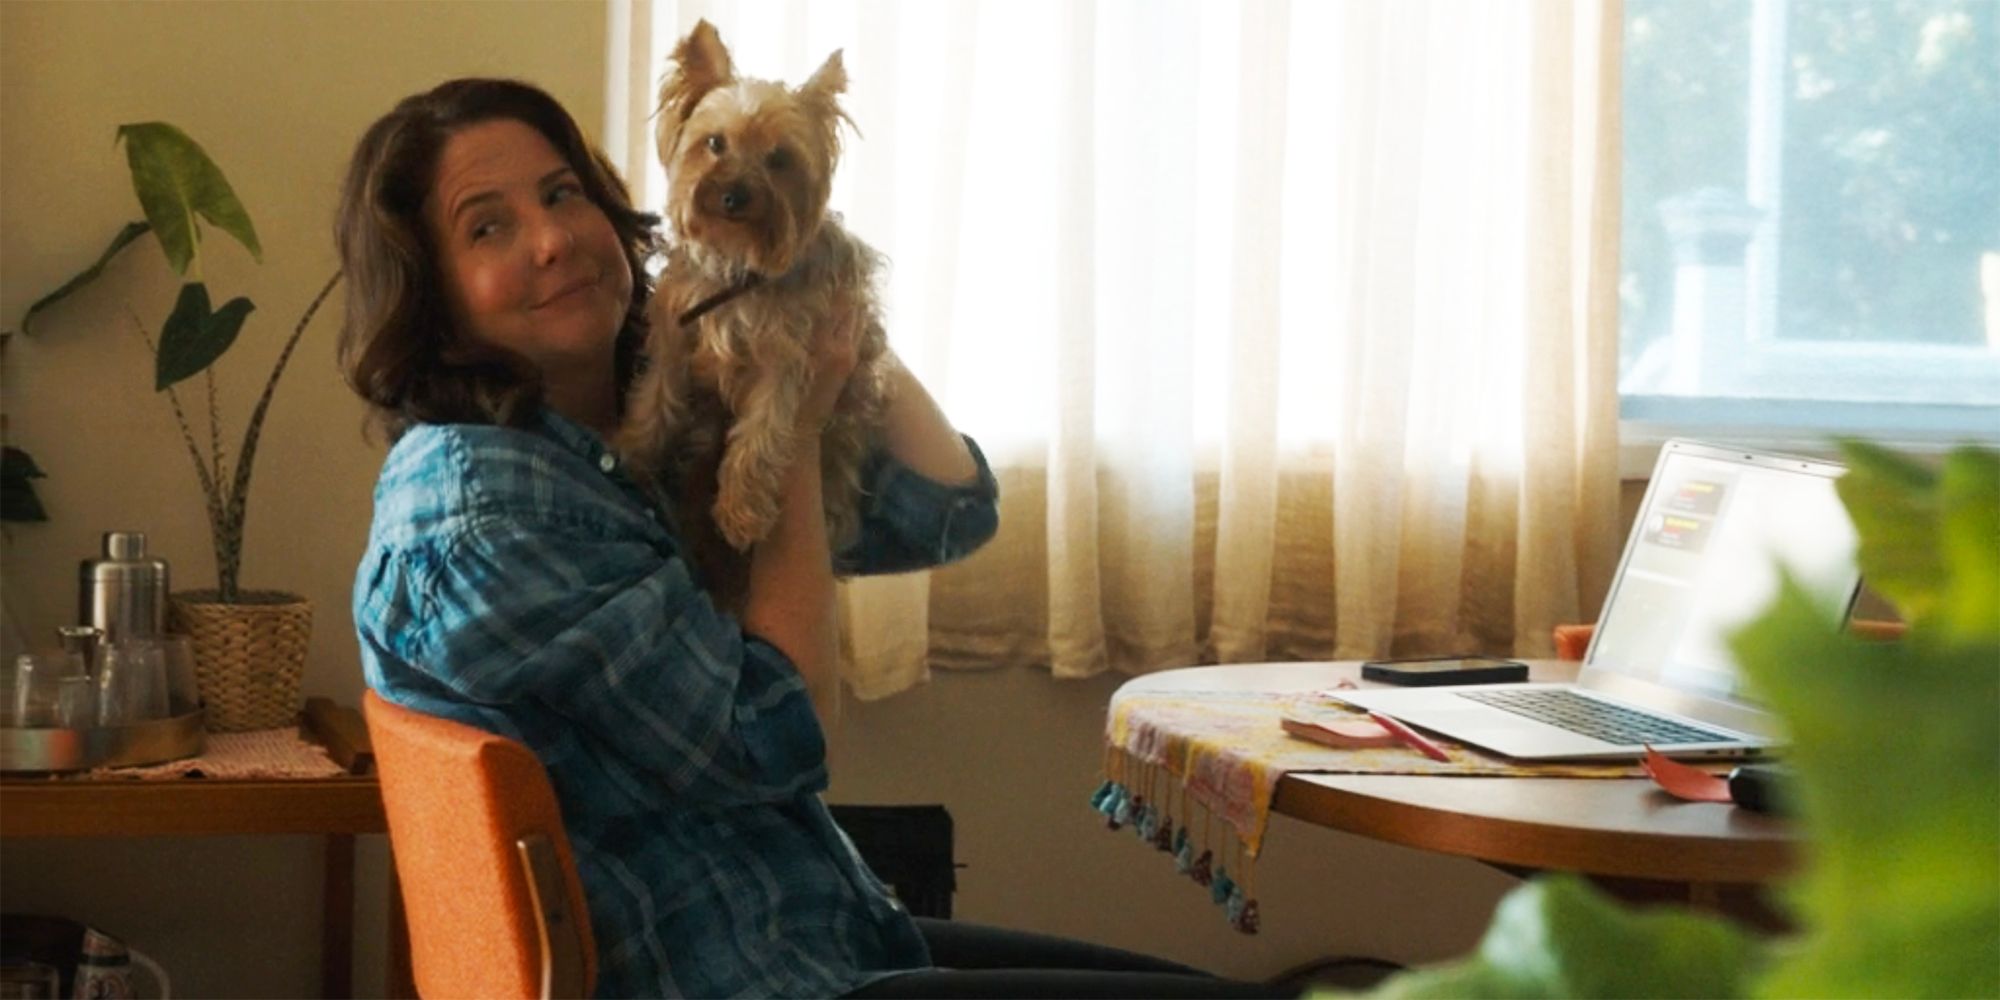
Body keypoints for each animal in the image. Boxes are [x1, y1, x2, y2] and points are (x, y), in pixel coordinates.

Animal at [612, 17, 888, 580]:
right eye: (714, 143)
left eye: (779, 160)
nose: (734, 195)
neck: (734, 264)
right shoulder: (675, 334)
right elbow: (655, 396)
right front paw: (633, 450)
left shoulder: (785, 357)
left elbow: (761, 433)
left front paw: (741, 512)